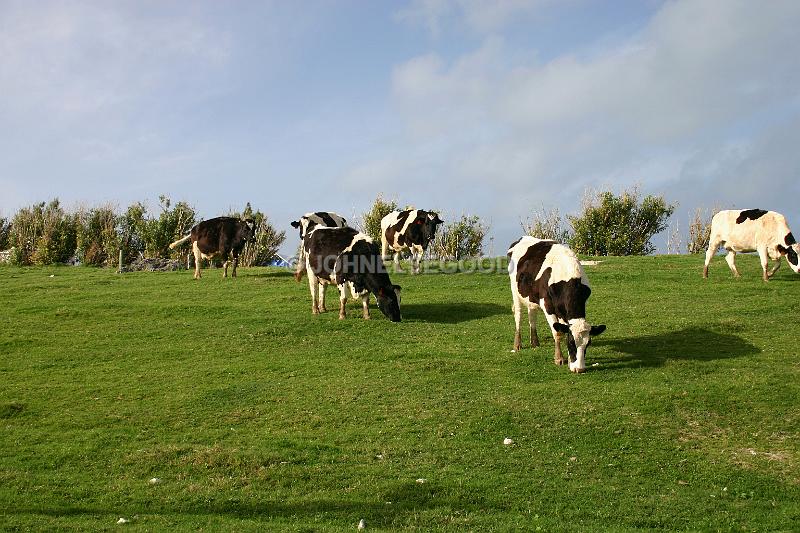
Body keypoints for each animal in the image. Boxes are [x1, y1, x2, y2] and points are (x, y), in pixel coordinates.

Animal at [506, 235, 608, 372]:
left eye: (588, 343)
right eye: (571, 343)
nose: (580, 369)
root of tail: (522, 238)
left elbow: (563, 329)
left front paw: (570, 361)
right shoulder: (547, 306)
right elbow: (558, 332)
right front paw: (559, 358)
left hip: (531, 297)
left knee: (532, 316)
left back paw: (535, 342)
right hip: (515, 290)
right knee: (518, 315)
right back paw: (517, 344)